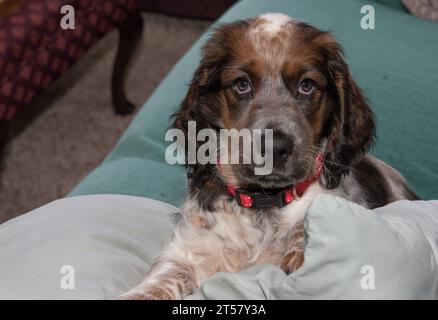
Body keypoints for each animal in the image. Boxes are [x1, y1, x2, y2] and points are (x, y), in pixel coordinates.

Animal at [119, 13, 418, 300]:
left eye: (307, 85)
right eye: (241, 84)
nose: (274, 147)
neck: (262, 204)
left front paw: (299, 249)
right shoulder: (188, 250)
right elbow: (164, 277)